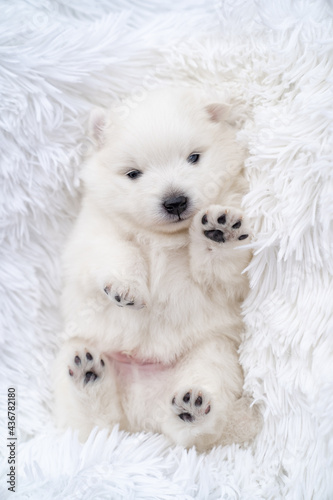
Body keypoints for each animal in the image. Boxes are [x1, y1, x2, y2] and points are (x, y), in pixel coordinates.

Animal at [53, 88, 260, 452]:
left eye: (194, 157)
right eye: (133, 173)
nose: (175, 201)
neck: (164, 237)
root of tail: (141, 420)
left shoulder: (224, 279)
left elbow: (218, 271)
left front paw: (219, 230)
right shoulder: (94, 231)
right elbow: (118, 250)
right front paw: (127, 289)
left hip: (212, 352)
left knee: (196, 424)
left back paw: (192, 405)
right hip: (77, 353)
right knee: (92, 425)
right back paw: (88, 372)